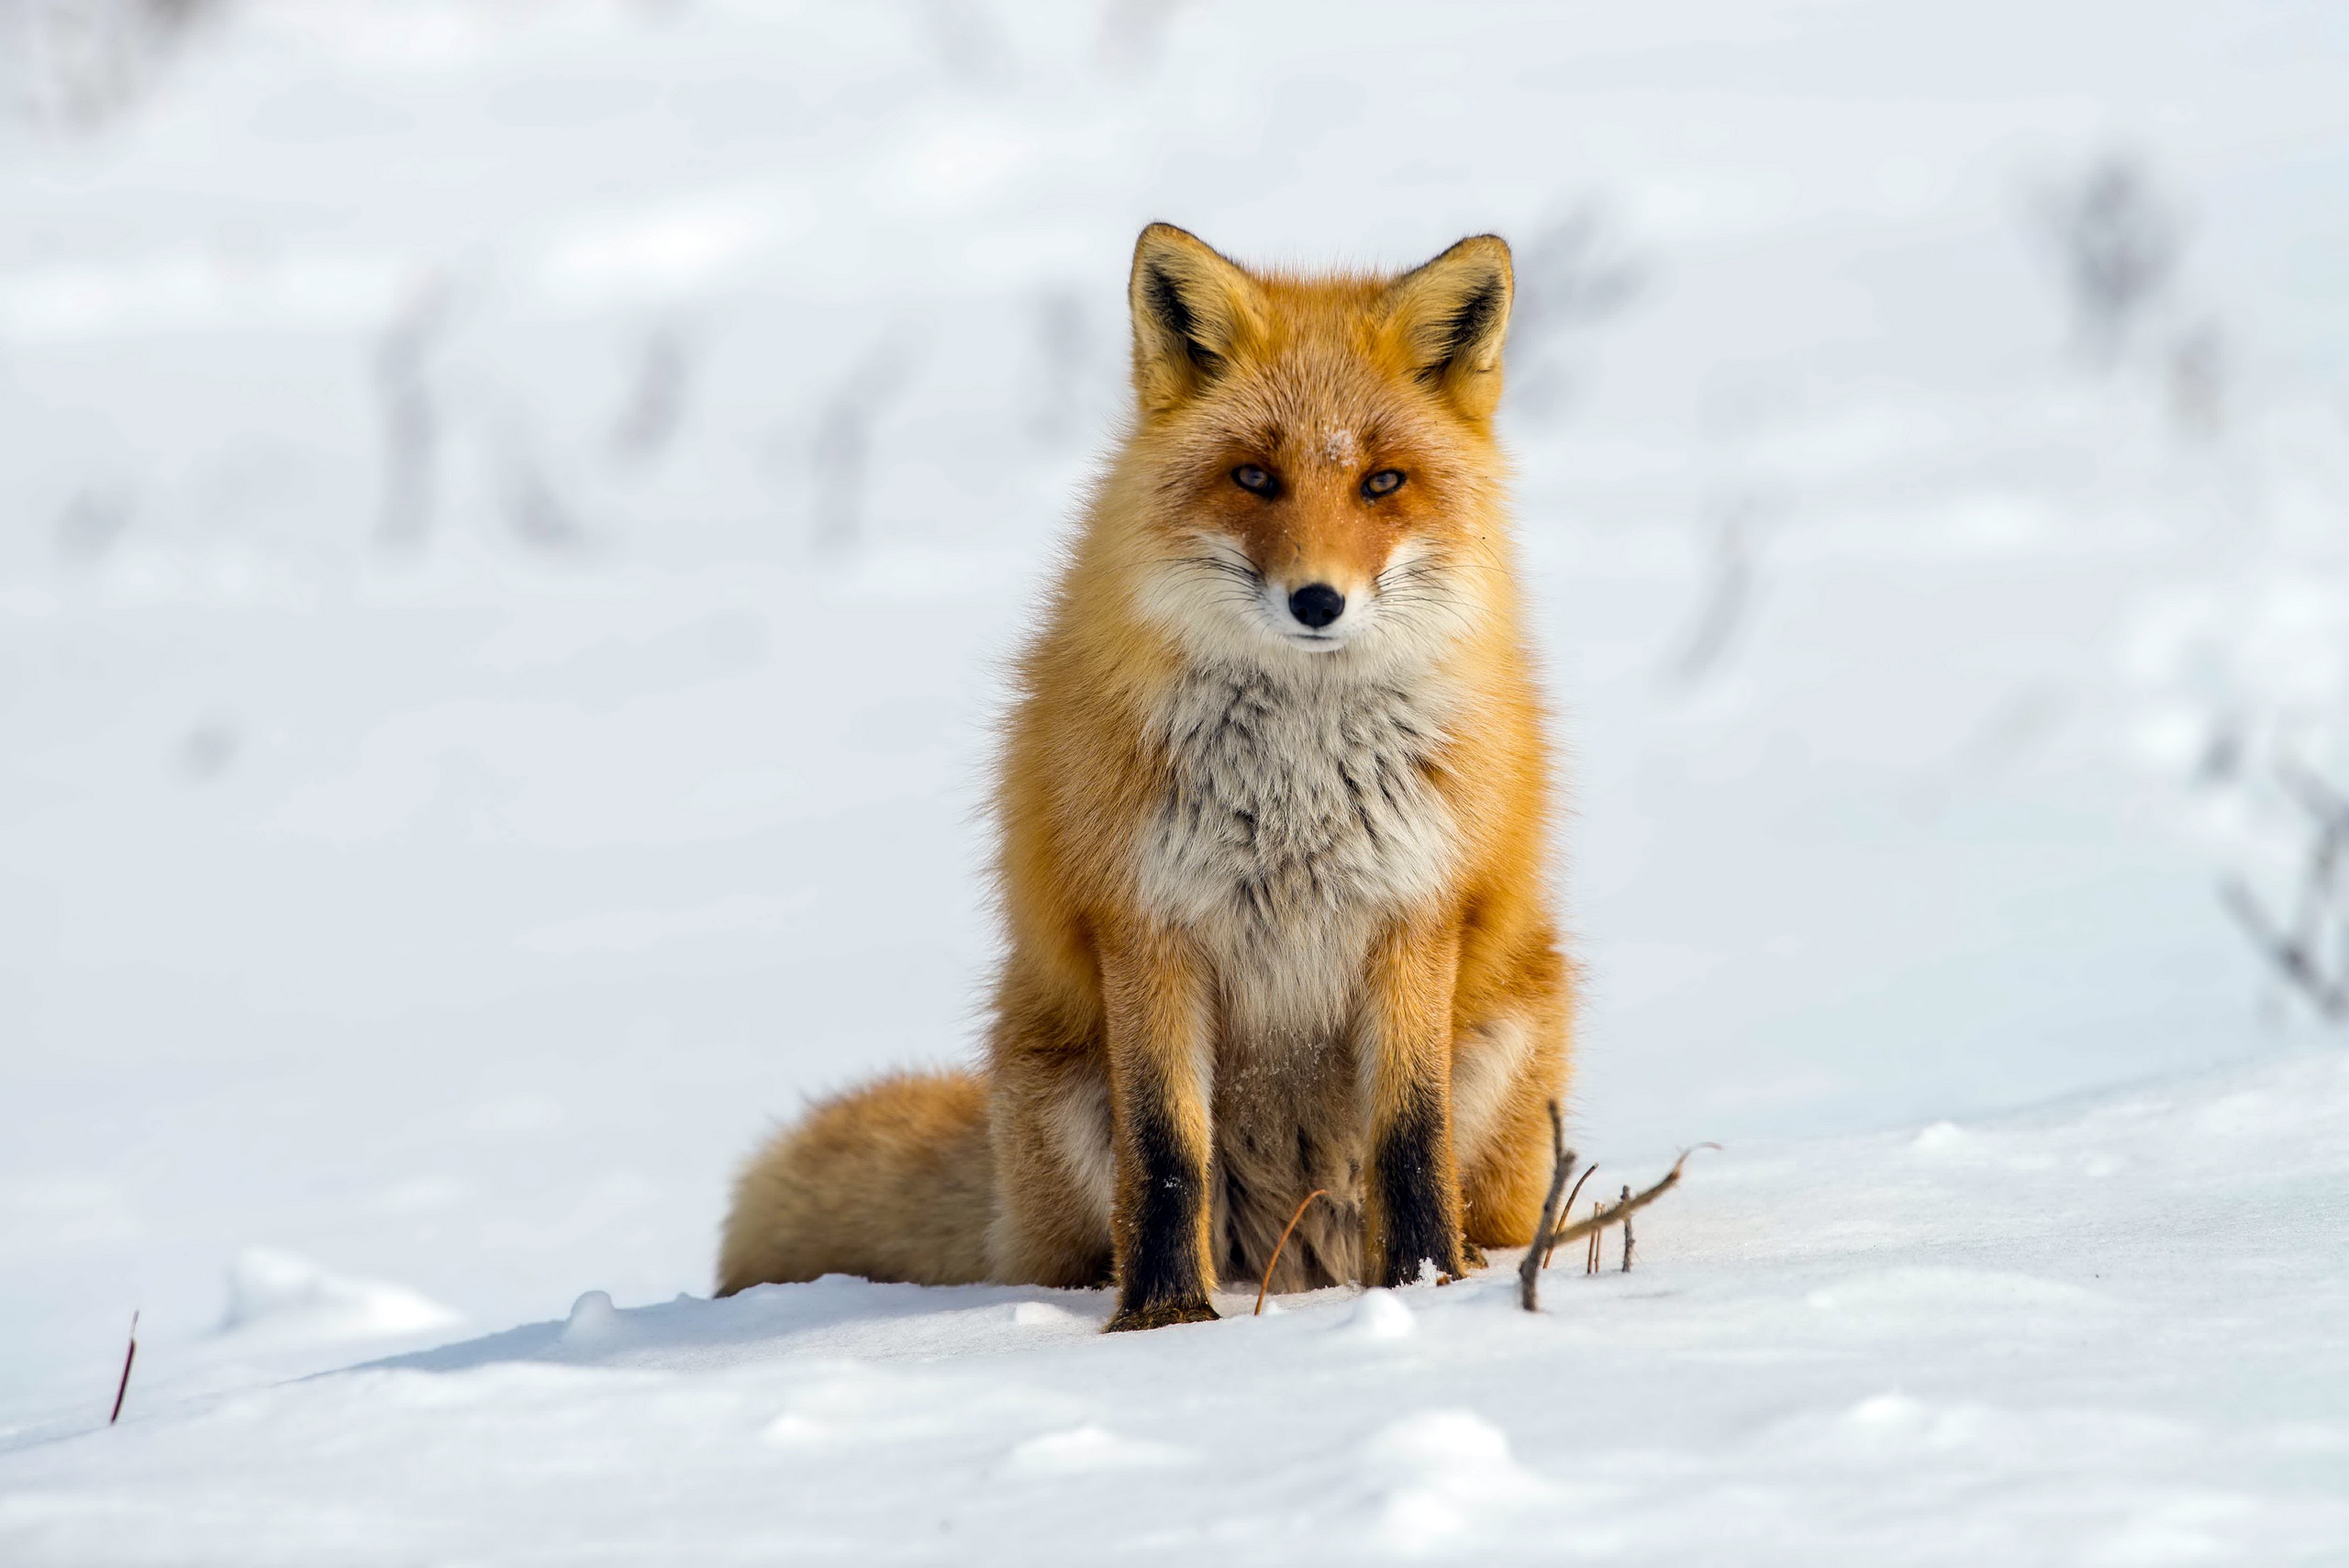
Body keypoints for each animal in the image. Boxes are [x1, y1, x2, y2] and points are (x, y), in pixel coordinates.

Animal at [705, 223, 1569, 1323]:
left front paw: (1422, 1289)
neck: (1295, 789)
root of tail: (1296, 1265)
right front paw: (1165, 1319)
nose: (1318, 600)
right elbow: (1166, 1154)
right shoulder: (1145, 922)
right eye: (1253, 477)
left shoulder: (1412, 913)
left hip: (1507, 1039)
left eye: (1383, 482)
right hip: (1064, 1095)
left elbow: (1409, 1141)